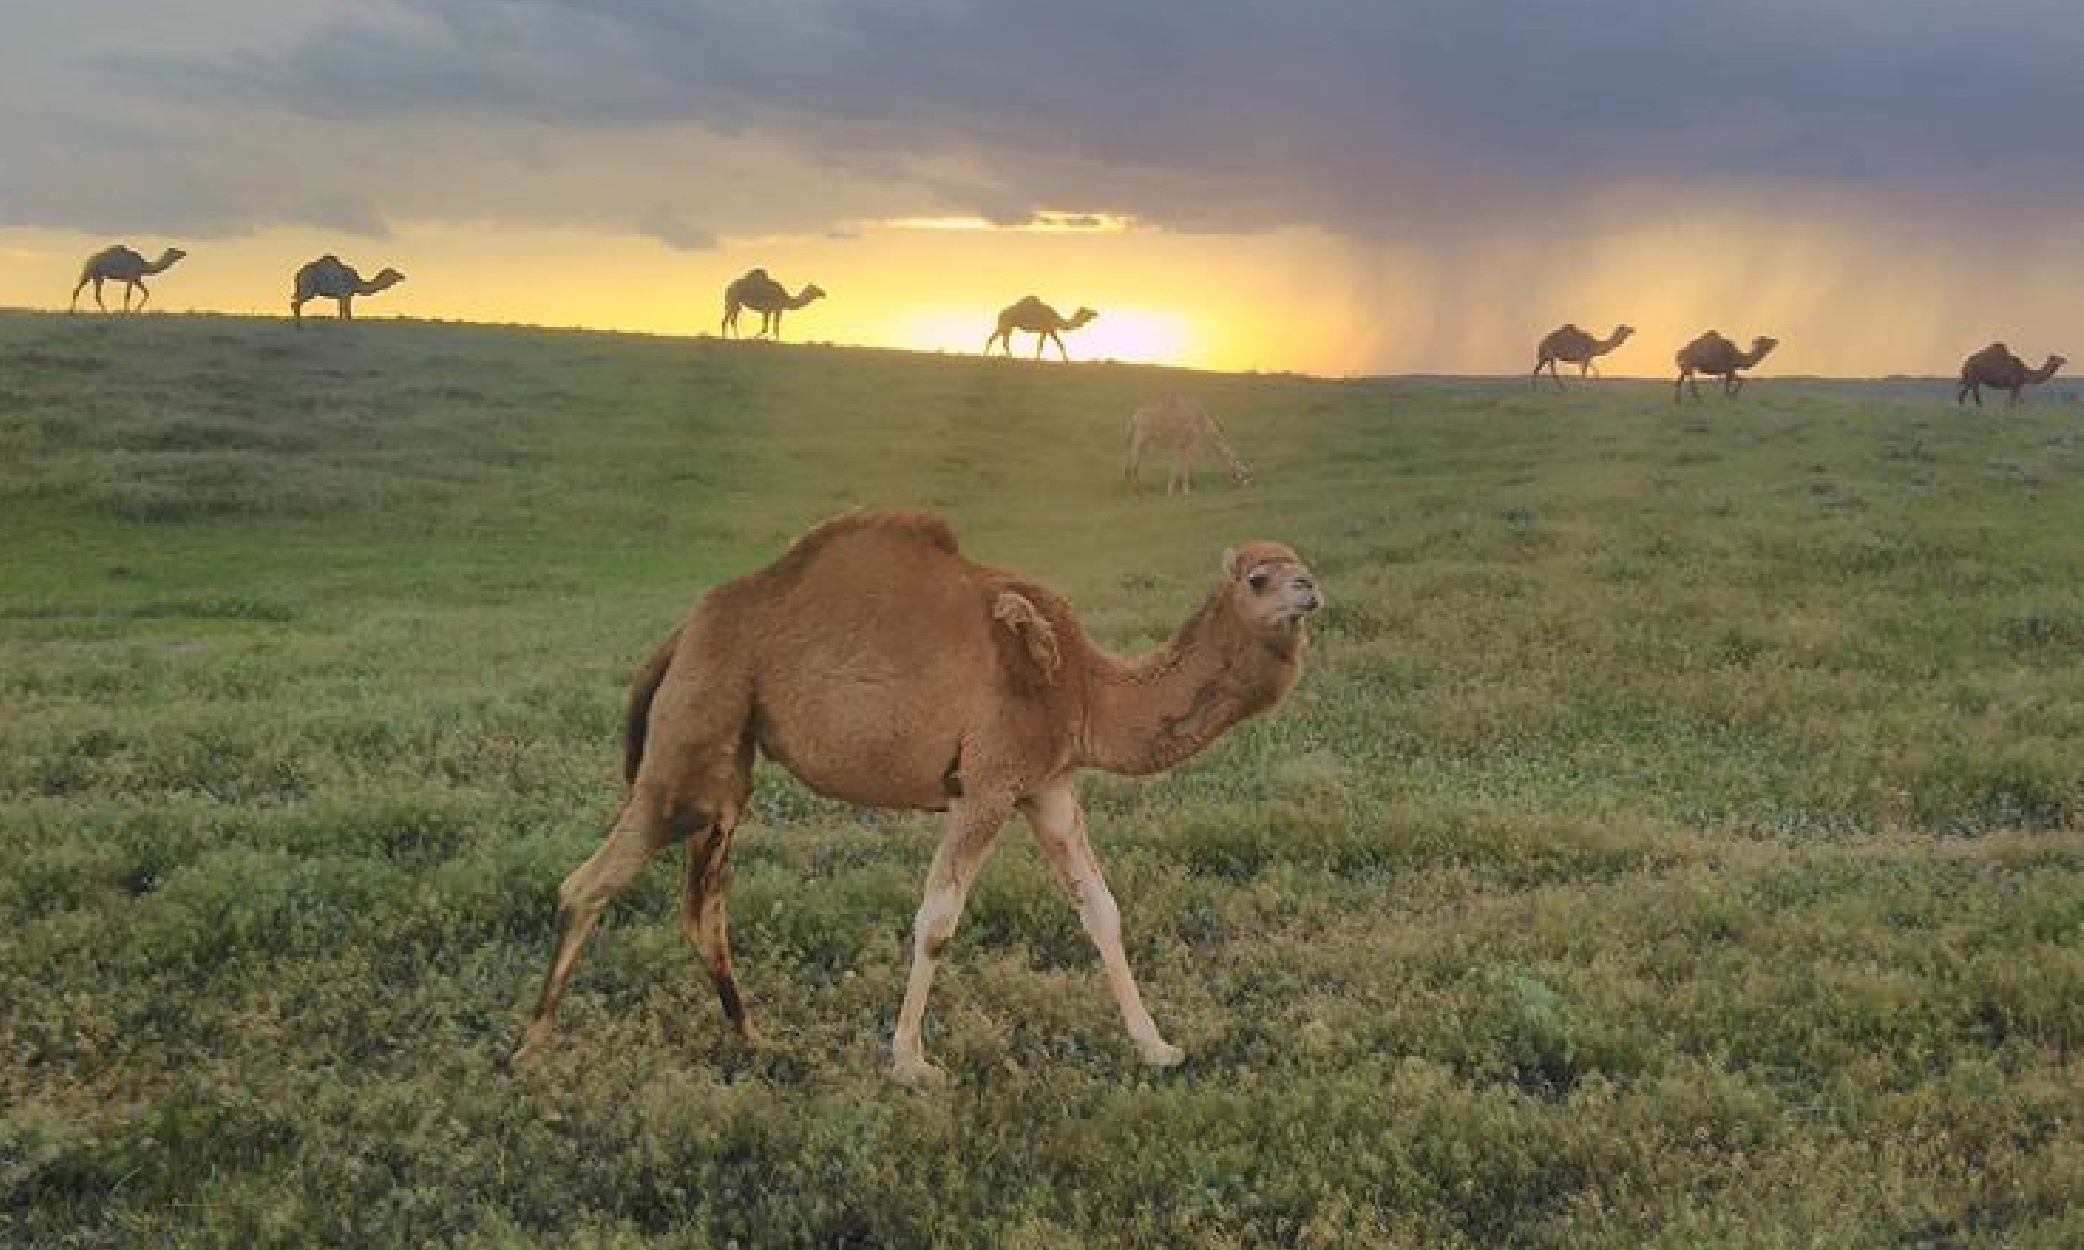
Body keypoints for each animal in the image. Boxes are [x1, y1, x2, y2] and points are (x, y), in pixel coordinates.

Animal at [516, 508, 1317, 1083]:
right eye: (1258, 579)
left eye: (1300, 565)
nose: (1311, 589)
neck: (1086, 687)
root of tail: (682, 635)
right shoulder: (988, 784)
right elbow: (936, 921)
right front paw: (910, 1063)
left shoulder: (1048, 786)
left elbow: (1103, 913)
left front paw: (1158, 1047)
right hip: (696, 727)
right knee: (591, 883)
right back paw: (531, 1048)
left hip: (727, 760)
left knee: (701, 904)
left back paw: (754, 1038)